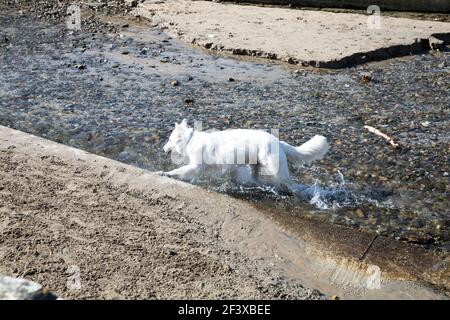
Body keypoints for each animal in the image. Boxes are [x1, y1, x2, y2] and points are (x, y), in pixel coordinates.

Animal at [160, 118, 328, 191]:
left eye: (169, 140)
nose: (162, 149)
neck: (190, 140)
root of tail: (279, 142)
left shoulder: (195, 166)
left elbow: (177, 170)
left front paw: (164, 173)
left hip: (276, 169)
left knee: (289, 183)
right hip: (256, 166)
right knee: (257, 179)